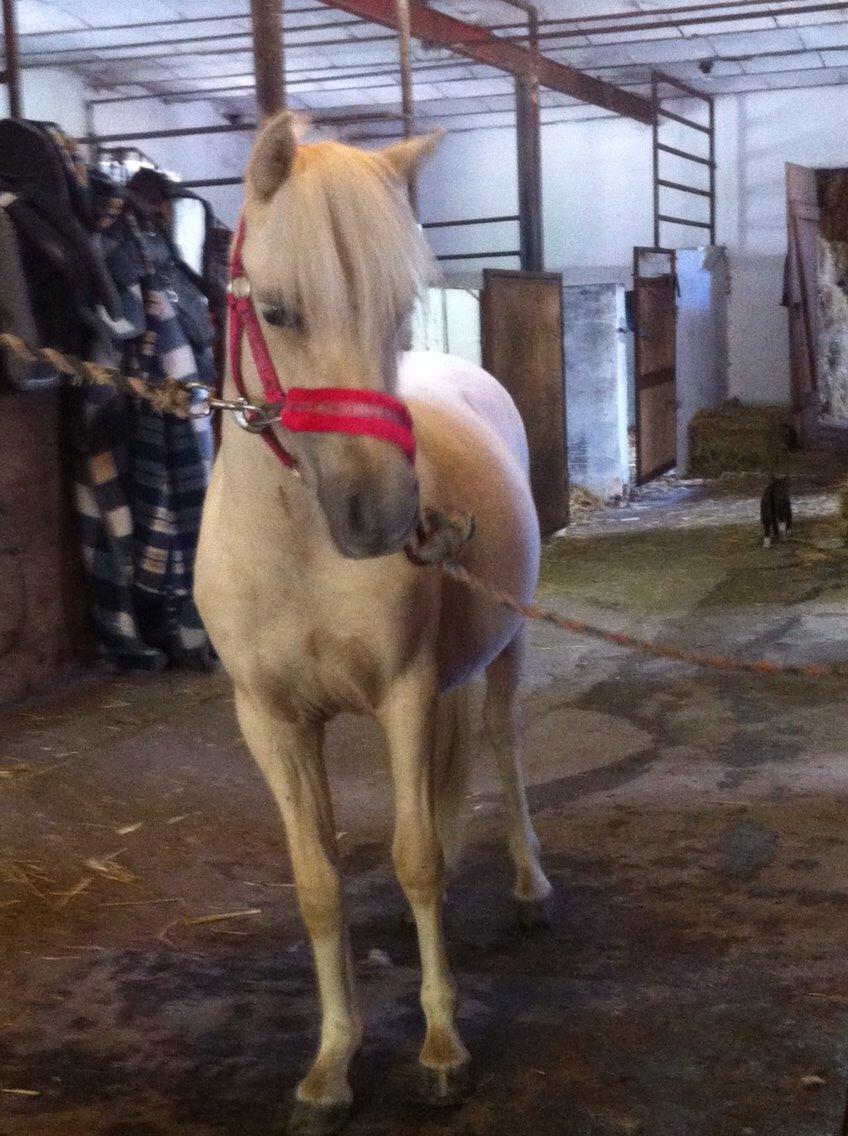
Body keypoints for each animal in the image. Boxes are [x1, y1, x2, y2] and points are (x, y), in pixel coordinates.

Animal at [194, 110, 552, 1135]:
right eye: (278, 311)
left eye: (401, 307)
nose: (383, 518)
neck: (299, 549)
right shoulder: (272, 723)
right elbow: (320, 885)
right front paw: (330, 1065)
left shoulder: (403, 697)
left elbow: (416, 858)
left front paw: (441, 1047)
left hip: (505, 651)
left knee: (502, 747)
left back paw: (528, 886)